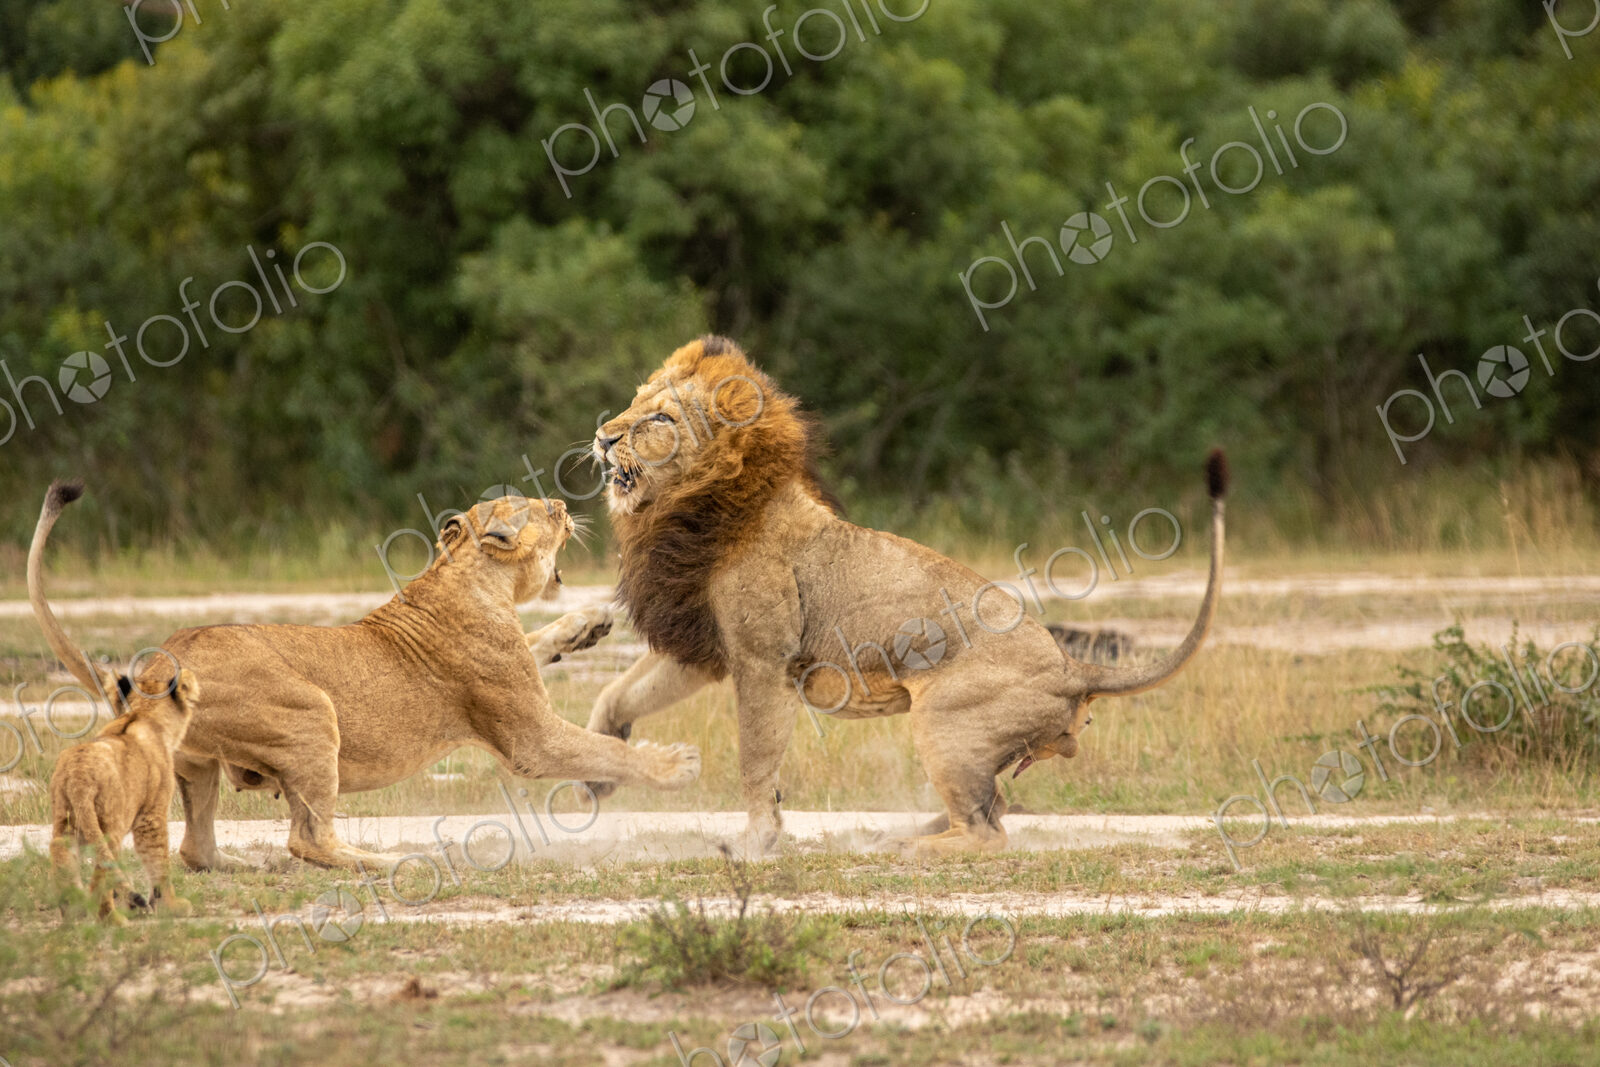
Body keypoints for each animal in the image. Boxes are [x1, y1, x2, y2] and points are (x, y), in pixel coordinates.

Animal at [29, 481, 699, 871]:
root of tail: (159, 661)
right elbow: (604, 752)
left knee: (198, 848)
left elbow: (542, 643)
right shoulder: (527, 737)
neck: (472, 579)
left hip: (196, 763)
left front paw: (587, 625)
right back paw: (405, 860)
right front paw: (672, 767)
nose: (564, 506)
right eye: (538, 510)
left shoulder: (516, 669)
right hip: (312, 714)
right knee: (308, 840)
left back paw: (244, 868)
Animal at [50, 665, 202, 923]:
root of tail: (78, 777)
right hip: (110, 825)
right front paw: (170, 906)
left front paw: (133, 904)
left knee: (63, 862)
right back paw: (112, 920)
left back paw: (74, 914)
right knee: (101, 873)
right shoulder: (151, 816)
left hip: (66, 824)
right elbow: (158, 860)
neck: (143, 713)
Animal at [585, 336, 1226, 855]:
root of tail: (1072, 666)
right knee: (995, 809)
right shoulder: (705, 646)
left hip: (944, 720)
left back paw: (900, 846)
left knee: (988, 832)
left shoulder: (762, 659)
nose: (602, 436)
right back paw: (897, 832)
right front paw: (600, 766)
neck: (683, 509)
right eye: (634, 401)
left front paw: (756, 840)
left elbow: (755, 758)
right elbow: (619, 693)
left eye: (660, 418)